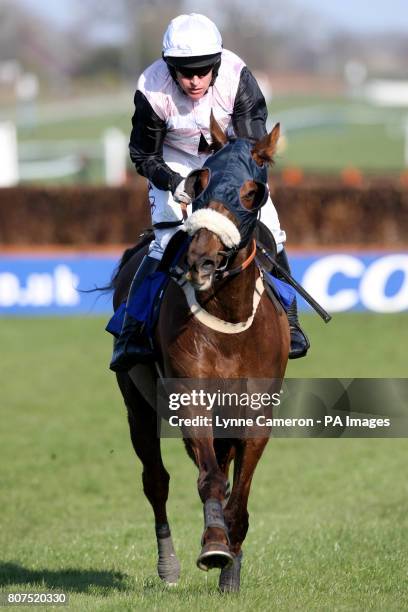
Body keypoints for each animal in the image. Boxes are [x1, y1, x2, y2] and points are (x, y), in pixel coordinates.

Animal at [111, 116, 290, 592]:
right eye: (200, 183)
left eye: (251, 192)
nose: (200, 261)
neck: (230, 318)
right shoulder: (192, 395)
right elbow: (209, 478)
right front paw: (214, 544)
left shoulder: (256, 409)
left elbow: (238, 490)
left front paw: (231, 565)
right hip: (136, 401)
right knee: (156, 480)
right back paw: (168, 566)